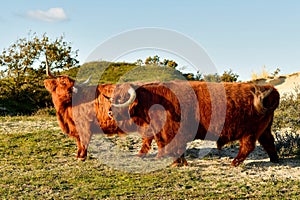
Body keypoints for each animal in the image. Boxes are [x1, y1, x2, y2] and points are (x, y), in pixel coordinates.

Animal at [109, 80, 280, 166]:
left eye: (122, 98)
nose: (110, 112)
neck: (153, 99)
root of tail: (267, 88)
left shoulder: (172, 132)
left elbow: (175, 147)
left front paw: (178, 163)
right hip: (264, 130)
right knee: (268, 142)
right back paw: (274, 159)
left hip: (250, 132)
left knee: (248, 146)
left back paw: (234, 163)